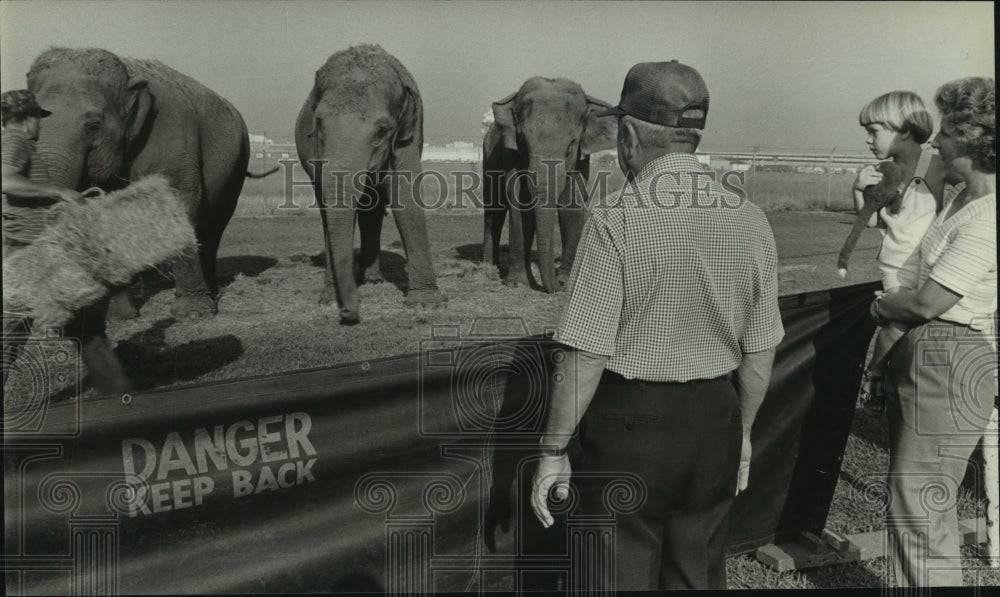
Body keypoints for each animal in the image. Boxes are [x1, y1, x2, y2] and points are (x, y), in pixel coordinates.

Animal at [19, 47, 262, 396]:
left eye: (93, 125)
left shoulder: (170, 137)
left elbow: (176, 203)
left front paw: (192, 315)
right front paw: (120, 317)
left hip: (238, 163)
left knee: (216, 225)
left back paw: (211, 293)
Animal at [292, 44, 442, 326]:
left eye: (382, 130)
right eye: (319, 123)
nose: (348, 313)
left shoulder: (410, 133)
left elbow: (404, 194)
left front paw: (426, 304)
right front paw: (328, 300)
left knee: (373, 208)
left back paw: (373, 280)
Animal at [482, 78, 616, 292]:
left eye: (571, 146)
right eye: (523, 142)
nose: (557, 285)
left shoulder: (581, 158)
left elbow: (572, 202)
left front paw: (568, 280)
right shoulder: (512, 153)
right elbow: (519, 200)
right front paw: (516, 284)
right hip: (488, 153)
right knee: (494, 210)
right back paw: (490, 267)